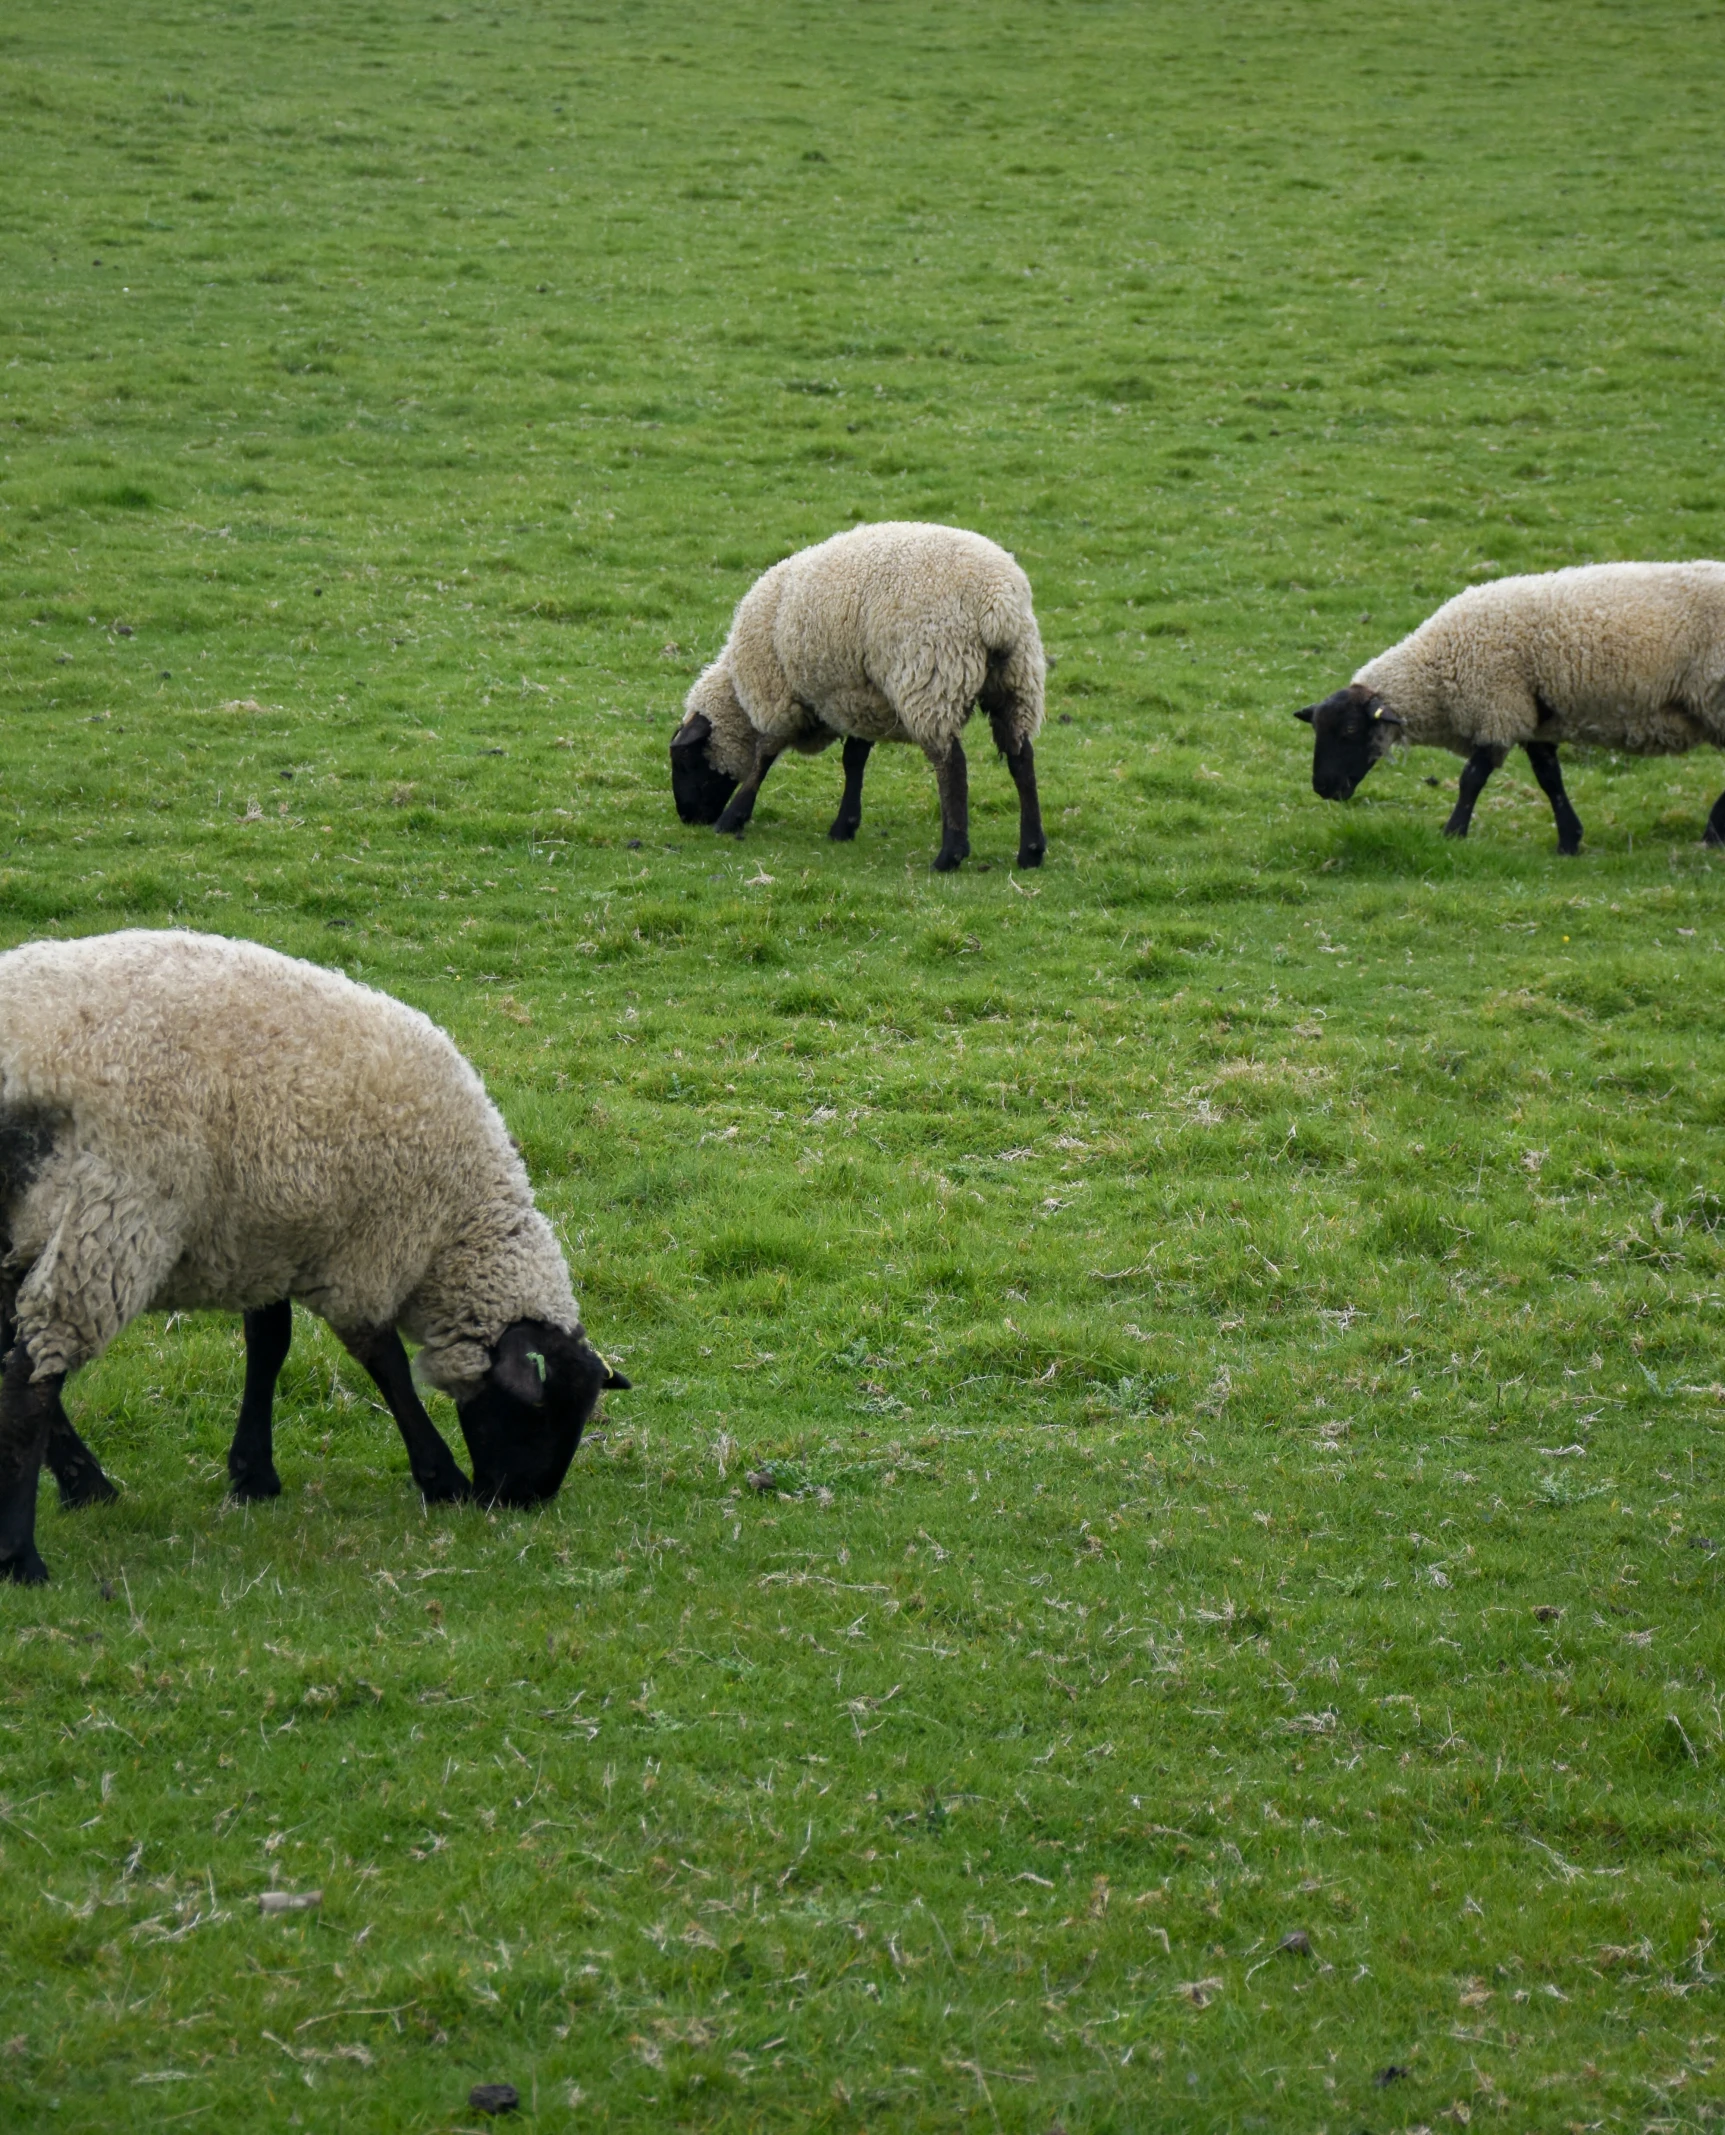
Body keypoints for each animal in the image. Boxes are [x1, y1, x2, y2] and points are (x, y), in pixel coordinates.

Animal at [0, 935, 631, 1588]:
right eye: (540, 1413)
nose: (523, 1501)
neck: (452, 1229)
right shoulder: (366, 1252)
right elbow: (386, 1364)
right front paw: (441, 1479)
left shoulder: (266, 1236)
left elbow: (269, 1344)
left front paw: (252, 1474)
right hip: (109, 1216)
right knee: (30, 1376)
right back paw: (25, 1555)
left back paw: (87, 1487)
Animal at [666, 520, 1046, 871]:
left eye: (684, 761)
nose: (687, 818)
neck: (740, 691)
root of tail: (998, 602)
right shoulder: (861, 698)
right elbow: (854, 759)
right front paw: (843, 826)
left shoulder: (780, 697)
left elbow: (765, 755)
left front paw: (732, 817)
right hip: (1017, 680)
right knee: (1021, 759)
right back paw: (1031, 851)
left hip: (932, 678)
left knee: (952, 764)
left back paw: (949, 855)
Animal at [1298, 563, 1725, 854]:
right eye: (1317, 730)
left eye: (1350, 731)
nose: (1323, 788)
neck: (1436, 666)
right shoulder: (1530, 719)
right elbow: (1549, 778)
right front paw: (1569, 841)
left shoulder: (1497, 710)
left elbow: (1472, 778)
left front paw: (1453, 833)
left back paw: (1712, 833)